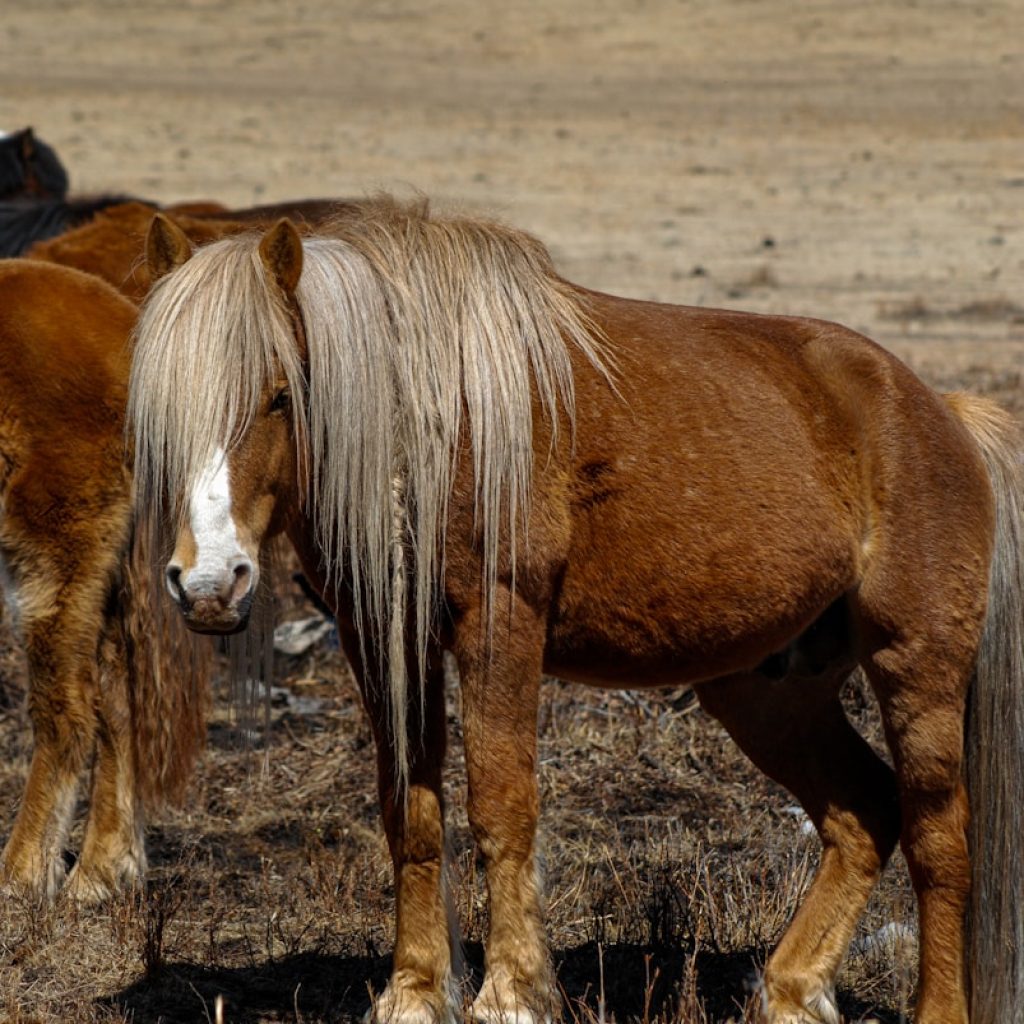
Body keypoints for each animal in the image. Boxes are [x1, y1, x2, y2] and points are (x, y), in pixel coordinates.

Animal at [130, 201, 1024, 1024]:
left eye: (280, 394)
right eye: (160, 411)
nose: (209, 583)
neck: (436, 421)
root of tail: (939, 409)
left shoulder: (501, 623)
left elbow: (501, 806)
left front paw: (510, 995)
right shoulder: (381, 638)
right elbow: (410, 813)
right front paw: (414, 994)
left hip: (915, 665)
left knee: (938, 836)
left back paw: (932, 1008)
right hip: (765, 690)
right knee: (863, 813)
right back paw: (792, 991)